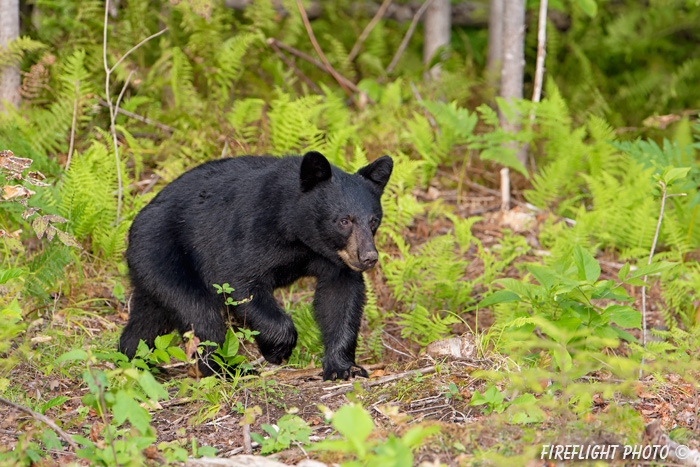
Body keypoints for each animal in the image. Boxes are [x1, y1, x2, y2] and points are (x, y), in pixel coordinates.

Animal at [120, 152, 394, 382]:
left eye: (373, 221)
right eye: (344, 220)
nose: (368, 257)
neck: (298, 233)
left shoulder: (333, 260)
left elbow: (340, 298)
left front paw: (343, 367)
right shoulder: (249, 231)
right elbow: (240, 282)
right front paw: (278, 349)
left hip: (153, 272)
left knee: (150, 317)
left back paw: (136, 358)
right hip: (164, 253)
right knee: (201, 317)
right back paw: (227, 369)